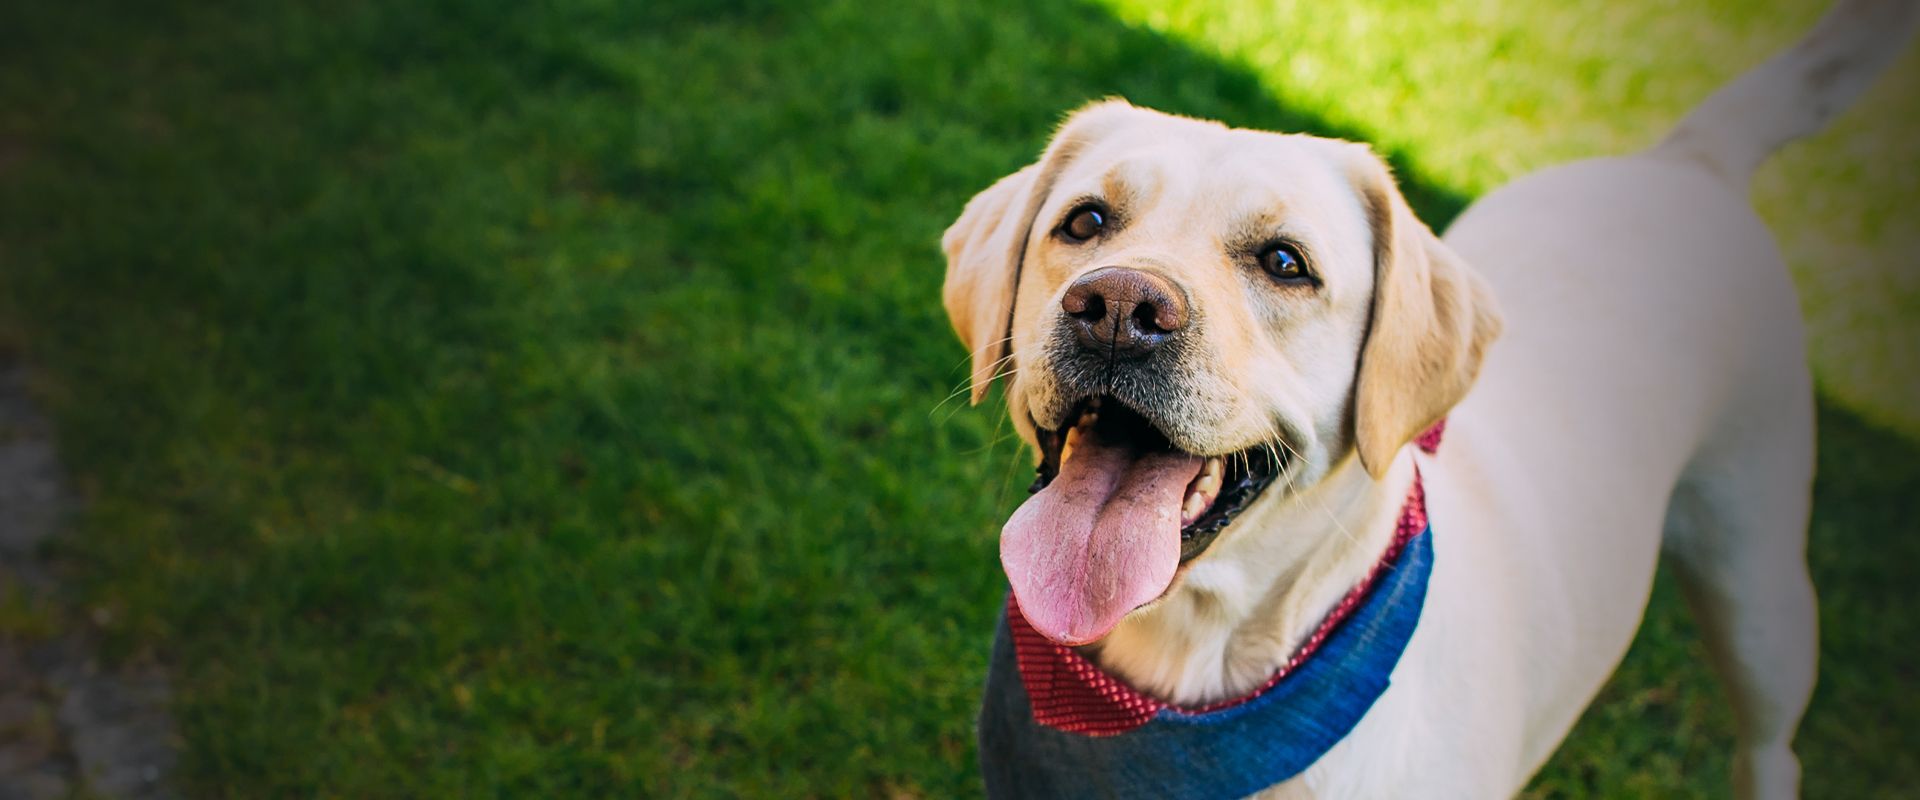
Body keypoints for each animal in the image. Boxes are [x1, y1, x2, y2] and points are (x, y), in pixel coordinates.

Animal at [944, 3, 1920, 794]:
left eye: (1286, 263)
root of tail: (1689, 160)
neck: (1182, 674)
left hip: (1754, 578)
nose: (1117, 310)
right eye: (1084, 222)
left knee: (1770, 739)